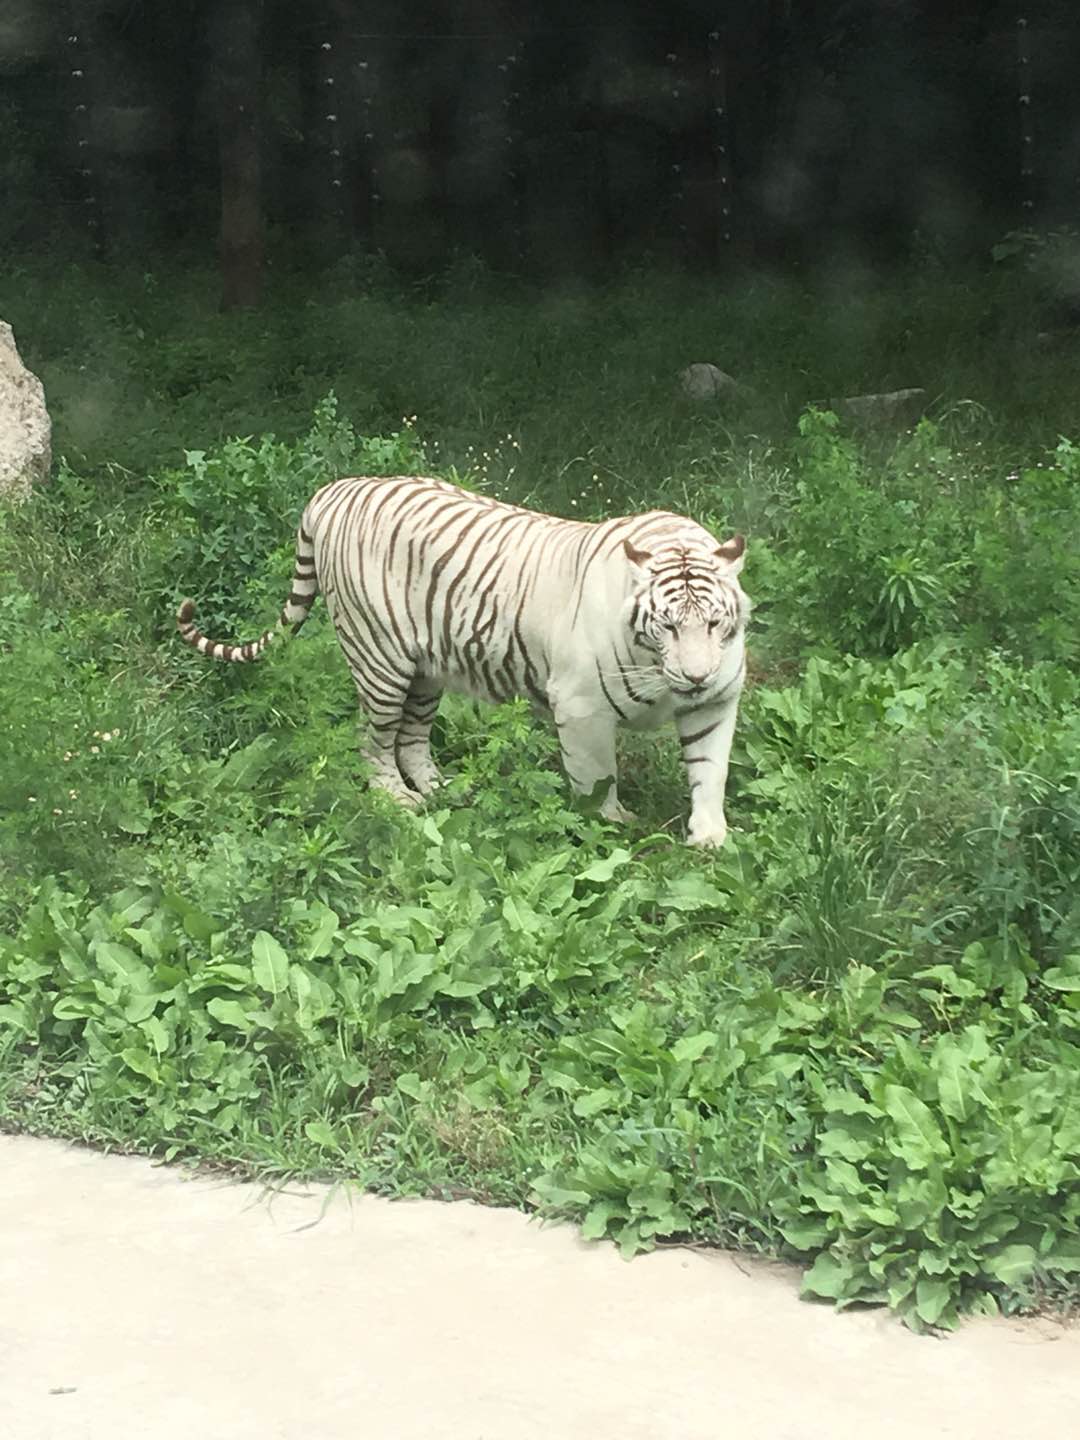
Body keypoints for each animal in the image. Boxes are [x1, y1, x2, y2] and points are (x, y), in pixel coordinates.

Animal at [180, 475, 754, 840]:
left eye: (713, 623)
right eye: (667, 627)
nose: (696, 676)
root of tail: (331, 491)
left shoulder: (716, 702)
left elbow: (710, 769)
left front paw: (709, 836)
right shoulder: (581, 708)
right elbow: (597, 776)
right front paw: (611, 824)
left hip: (426, 669)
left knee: (411, 738)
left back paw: (443, 789)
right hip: (379, 660)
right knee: (373, 739)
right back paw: (399, 799)